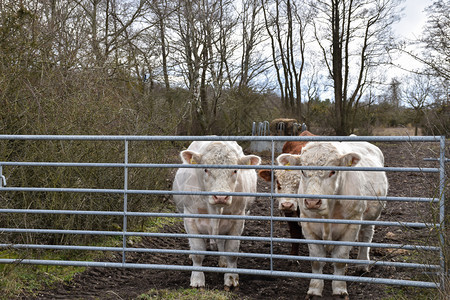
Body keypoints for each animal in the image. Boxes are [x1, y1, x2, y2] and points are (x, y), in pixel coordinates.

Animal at [173, 142, 264, 290]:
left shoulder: (238, 219)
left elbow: (232, 251)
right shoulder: (190, 218)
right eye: (205, 170)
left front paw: (231, 278)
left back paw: (223, 261)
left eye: (235, 171)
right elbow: (198, 251)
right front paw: (197, 279)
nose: (221, 197)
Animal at [278, 141, 386, 300]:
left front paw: (340, 290)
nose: (312, 202)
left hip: (372, 215)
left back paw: (362, 264)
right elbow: (317, 260)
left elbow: (340, 260)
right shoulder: (308, 226)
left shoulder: (351, 226)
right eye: (302, 171)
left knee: (366, 236)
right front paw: (314, 290)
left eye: (333, 172)